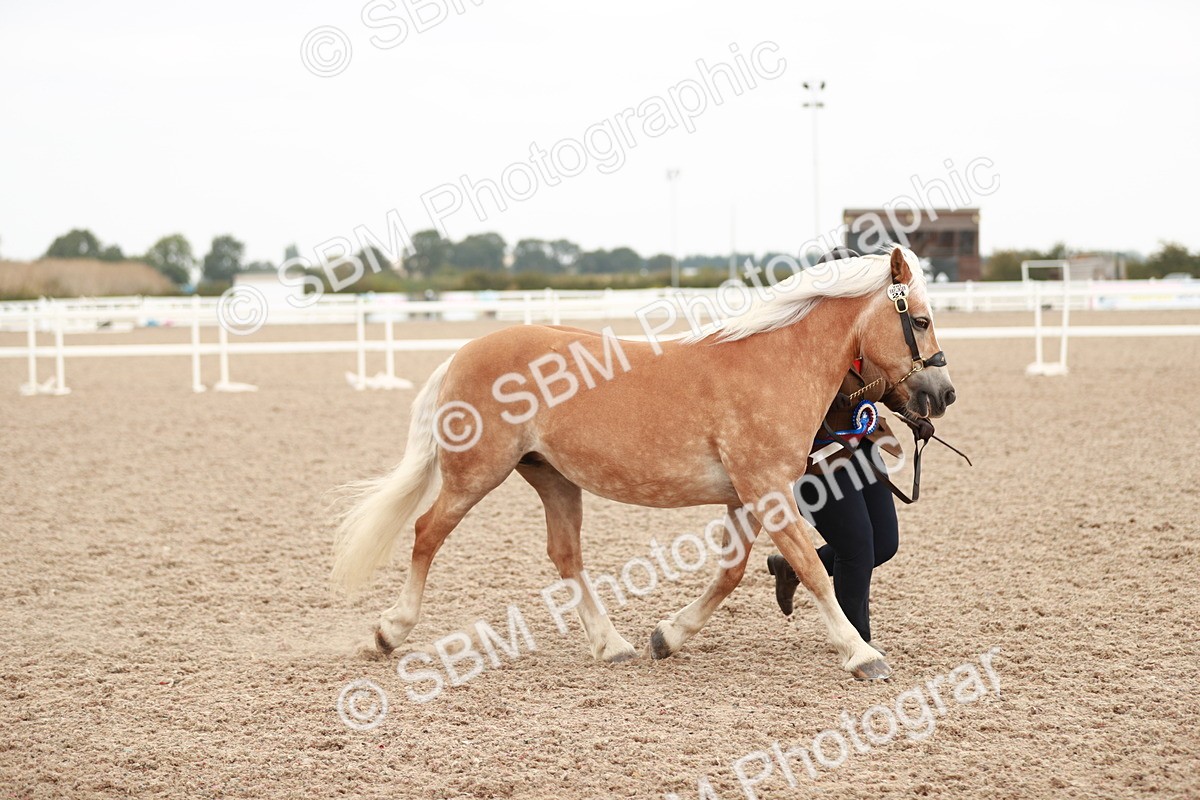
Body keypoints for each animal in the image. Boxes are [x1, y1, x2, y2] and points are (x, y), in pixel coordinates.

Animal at [332, 246, 955, 680]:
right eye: (921, 320)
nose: (943, 394)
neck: (773, 364)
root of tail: (462, 354)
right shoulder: (767, 490)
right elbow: (812, 569)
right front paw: (861, 654)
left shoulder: (748, 497)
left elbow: (731, 573)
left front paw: (667, 636)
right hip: (475, 474)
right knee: (426, 532)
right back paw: (389, 631)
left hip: (553, 478)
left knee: (566, 557)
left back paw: (613, 645)